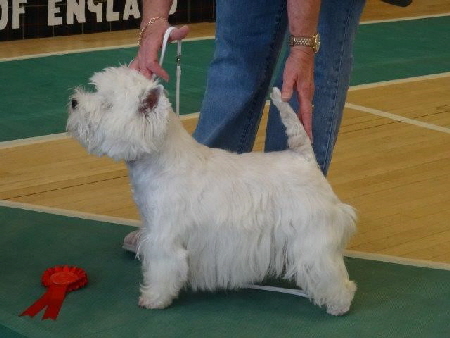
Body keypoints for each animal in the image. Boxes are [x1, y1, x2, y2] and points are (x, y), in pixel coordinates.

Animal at [67, 66, 356, 316]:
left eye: (107, 104)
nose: (74, 101)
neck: (160, 160)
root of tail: (304, 157)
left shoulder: (165, 237)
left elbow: (162, 268)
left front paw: (154, 299)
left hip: (312, 237)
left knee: (328, 269)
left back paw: (339, 304)